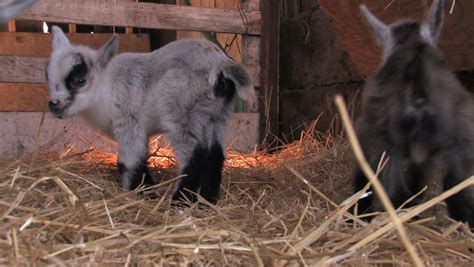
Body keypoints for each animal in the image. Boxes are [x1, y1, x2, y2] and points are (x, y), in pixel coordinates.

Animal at [47, 26, 256, 205]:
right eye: (48, 77)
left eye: (80, 81)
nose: (53, 105)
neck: (107, 85)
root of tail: (220, 63)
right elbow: (141, 158)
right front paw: (146, 191)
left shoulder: (128, 124)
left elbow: (129, 162)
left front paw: (140, 193)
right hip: (215, 115)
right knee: (215, 155)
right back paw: (207, 201)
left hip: (181, 113)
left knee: (194, 155)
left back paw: (179, 202)